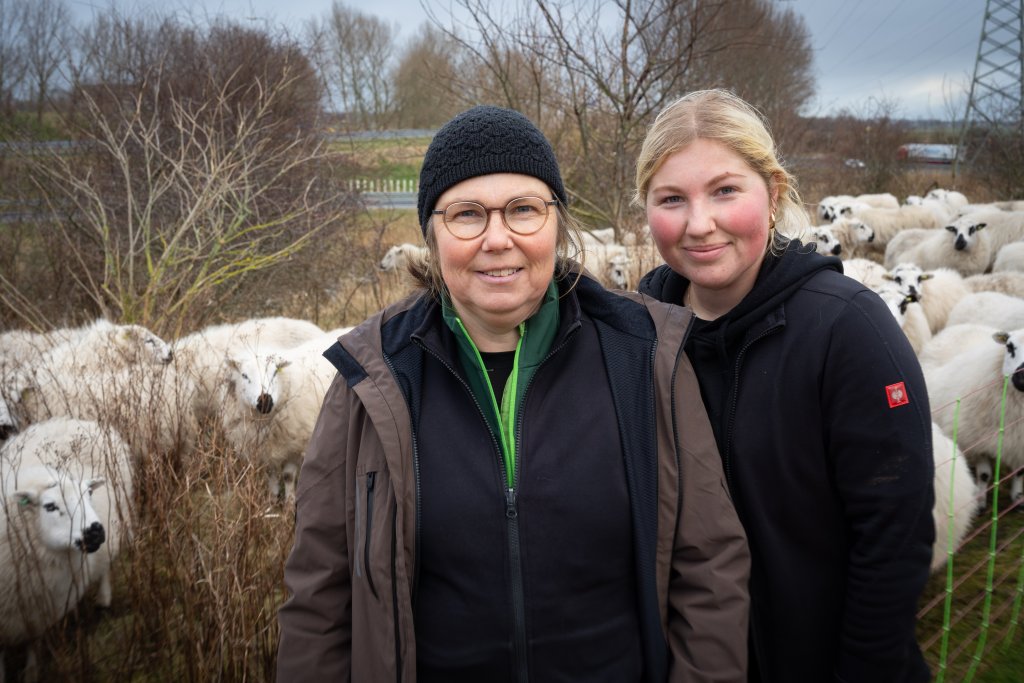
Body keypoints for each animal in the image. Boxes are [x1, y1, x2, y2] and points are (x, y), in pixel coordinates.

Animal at [0, 417, 134, 679]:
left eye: (89, 493)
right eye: (50, 506)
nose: (95, 531)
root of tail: (80, 421)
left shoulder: (39, 608)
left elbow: (34, 643)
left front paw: (31, 673)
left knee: (105, 566)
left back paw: (103, 600)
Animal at [925, 325, 1024, 507]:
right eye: (1009, 347)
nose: (1021, 379)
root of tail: (967, 325)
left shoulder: (1019, 442)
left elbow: (1020, 471)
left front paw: (1018, 498)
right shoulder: (976, 442)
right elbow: (984, 474)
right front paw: (980, 501)